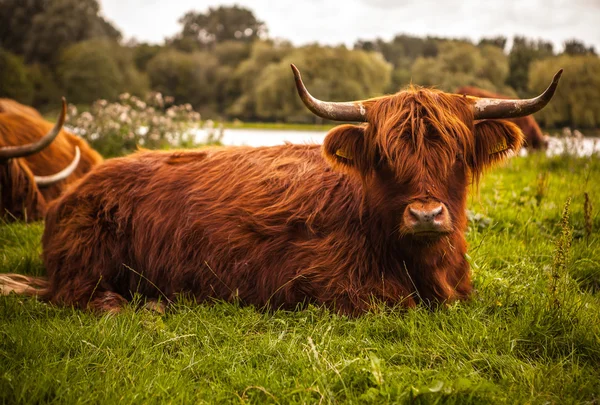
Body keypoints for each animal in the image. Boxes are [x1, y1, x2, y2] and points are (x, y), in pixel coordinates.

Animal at [0, 66, 564, 314]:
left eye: (458, 153)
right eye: (383, 157)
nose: (426, 215)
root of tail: (76, 191)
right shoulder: (320, 285)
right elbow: (387, 302)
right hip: (87, 261)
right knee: (80, 295)